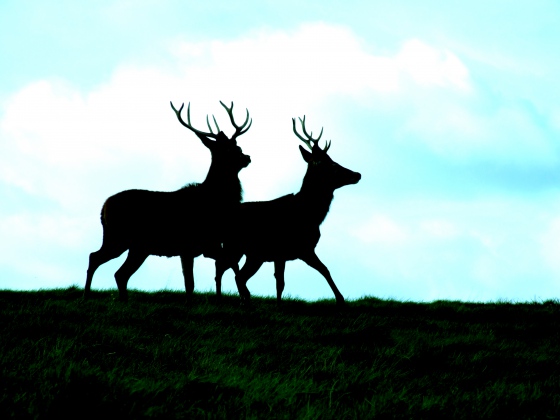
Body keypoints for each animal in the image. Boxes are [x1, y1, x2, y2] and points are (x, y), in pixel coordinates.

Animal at [84, 100, 253, 300]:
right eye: (229, 149)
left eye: (238, 146)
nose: (247, 157)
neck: (214, 201)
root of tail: (103, 208)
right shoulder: (187, 246)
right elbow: (190, 284)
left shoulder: (208, 245)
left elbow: (231, 264)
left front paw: (246, 295)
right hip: (118, 237)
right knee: (96, 258)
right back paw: (86, 296)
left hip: (136, 246)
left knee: (119, 273)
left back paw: (121, 300)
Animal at [214, 115, 358, 306]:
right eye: (332, 165)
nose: (357, 174)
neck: (311, 216)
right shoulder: (303, 248)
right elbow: (325, 269)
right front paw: (340, 299)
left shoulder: (281, 254)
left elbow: (280, 282)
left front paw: (279, 304)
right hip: (242, 248)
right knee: (232, 272)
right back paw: (241, 299)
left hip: (247, 252)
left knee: (228, 270)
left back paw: (234, 298)